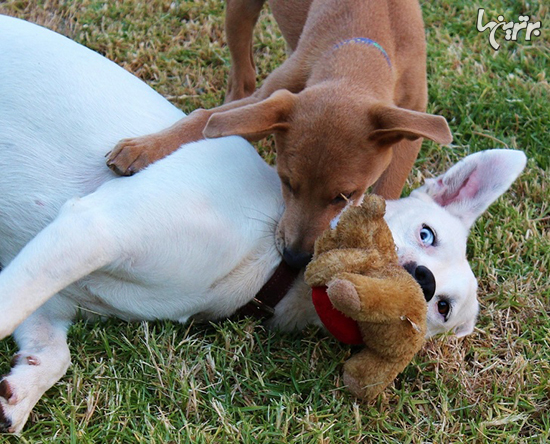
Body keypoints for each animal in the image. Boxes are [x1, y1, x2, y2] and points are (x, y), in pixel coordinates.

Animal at [106, 0, 452, 268]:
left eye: (345, 196)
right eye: (286, 182)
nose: (294, 259)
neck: (362, 48)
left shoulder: (410, 128)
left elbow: (389, 190)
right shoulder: (275, 96)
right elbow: (205, 118)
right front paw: (142, 148)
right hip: (241, 12)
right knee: (242, 75)